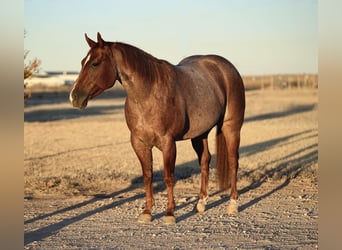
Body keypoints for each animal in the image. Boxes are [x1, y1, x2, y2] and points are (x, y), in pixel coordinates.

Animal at [70, 32, 246, 224]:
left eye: (95, 63)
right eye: (82, 62)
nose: (74, 97)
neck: (148, 94)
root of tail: (226, 67)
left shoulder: (168, 143)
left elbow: (168, 177)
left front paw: (169, 213)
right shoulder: (139, 143)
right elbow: (148, 176)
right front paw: (147, 212)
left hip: (231, 128)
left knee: (233, 162)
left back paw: (233, 204)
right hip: (200, 134)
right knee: (205, 161)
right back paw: (201, 203)